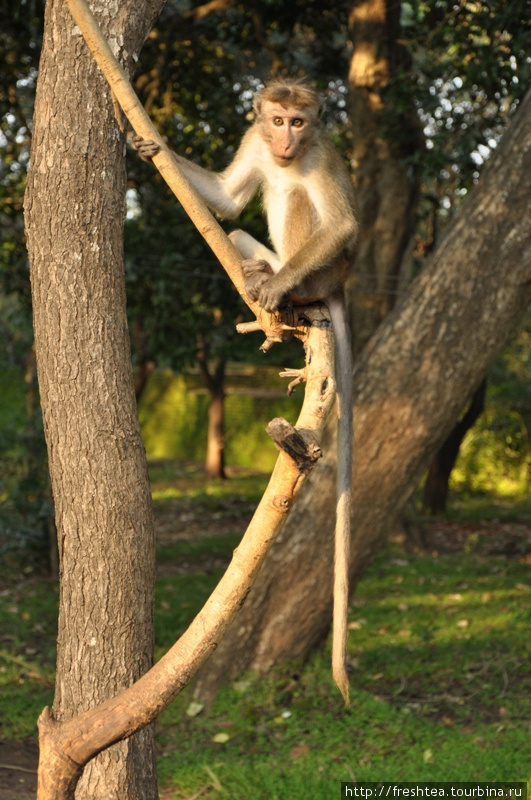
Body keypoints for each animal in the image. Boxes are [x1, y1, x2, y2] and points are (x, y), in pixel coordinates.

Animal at [133, 78, 358, 704]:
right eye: (276, 119)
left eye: (300, 123)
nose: (285, 139)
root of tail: (338, 289)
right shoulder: (254, 144)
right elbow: (231, 201)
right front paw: (154, 146)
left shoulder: (320, 154)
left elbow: (342, 226)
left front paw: (280, 289)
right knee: (236, 228)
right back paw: (259, 278)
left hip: (326, 269)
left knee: (301, 202)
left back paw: (288, 292)